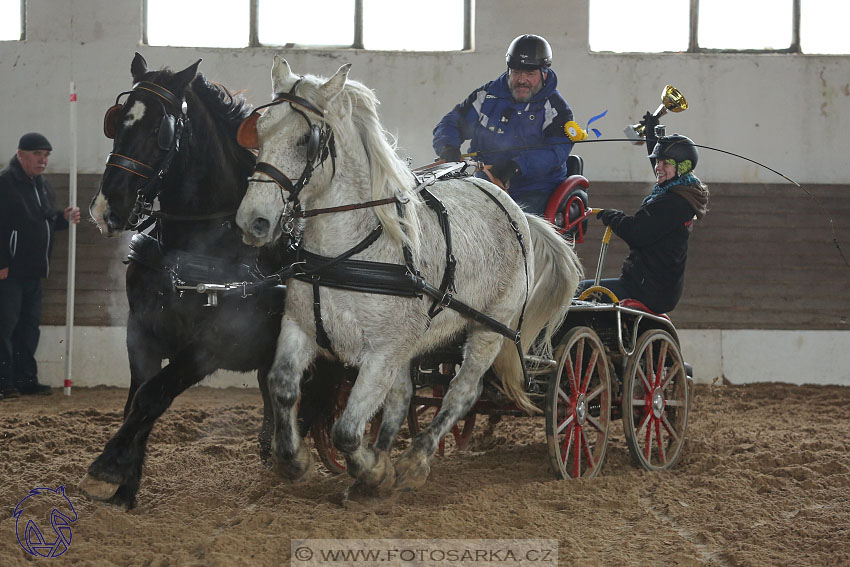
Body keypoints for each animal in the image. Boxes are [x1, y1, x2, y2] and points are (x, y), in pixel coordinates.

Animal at [82, 55, 342, 512]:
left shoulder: (210, 346)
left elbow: (153, 396)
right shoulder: (141, 332)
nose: (106, 208)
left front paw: (106, 469)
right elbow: (137, 402)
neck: (197, 248)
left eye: (161, 130)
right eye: (118, 121)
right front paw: (125, 489)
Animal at [238, 55, 584, 494]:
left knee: (462, 392)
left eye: (305, 140)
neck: (349, 251)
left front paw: (372, 470)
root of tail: (515, 208)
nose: (254, 221)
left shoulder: (383, 351)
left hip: (492, 327)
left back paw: (414, 460)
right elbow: (283, 386)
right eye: (260, 132)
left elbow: (346, 430)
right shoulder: (302, 327)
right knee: (405, 397)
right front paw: (296, 460)